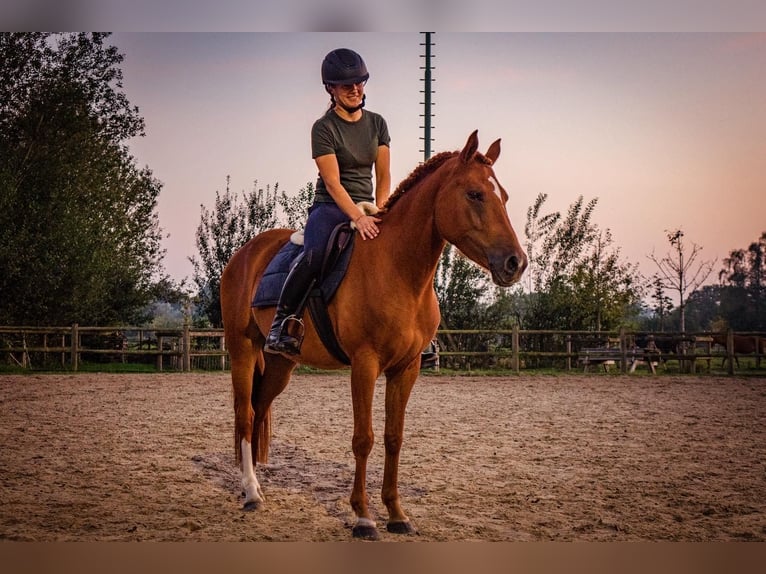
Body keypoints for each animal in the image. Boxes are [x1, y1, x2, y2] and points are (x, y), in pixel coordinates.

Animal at [222, 130, 528, 540]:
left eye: (504, 196)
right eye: (475, 194)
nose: (515, 263)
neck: (397, 269)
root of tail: (245, 253)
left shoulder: (406, 369)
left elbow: (393, 438)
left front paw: (397, 514)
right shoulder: (364, 365)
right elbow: (363, 438)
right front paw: (364, 517)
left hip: (279, 363)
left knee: (259, 412)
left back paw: (256, 483)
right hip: (242, 350)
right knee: (245, 413)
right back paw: (252, 493)